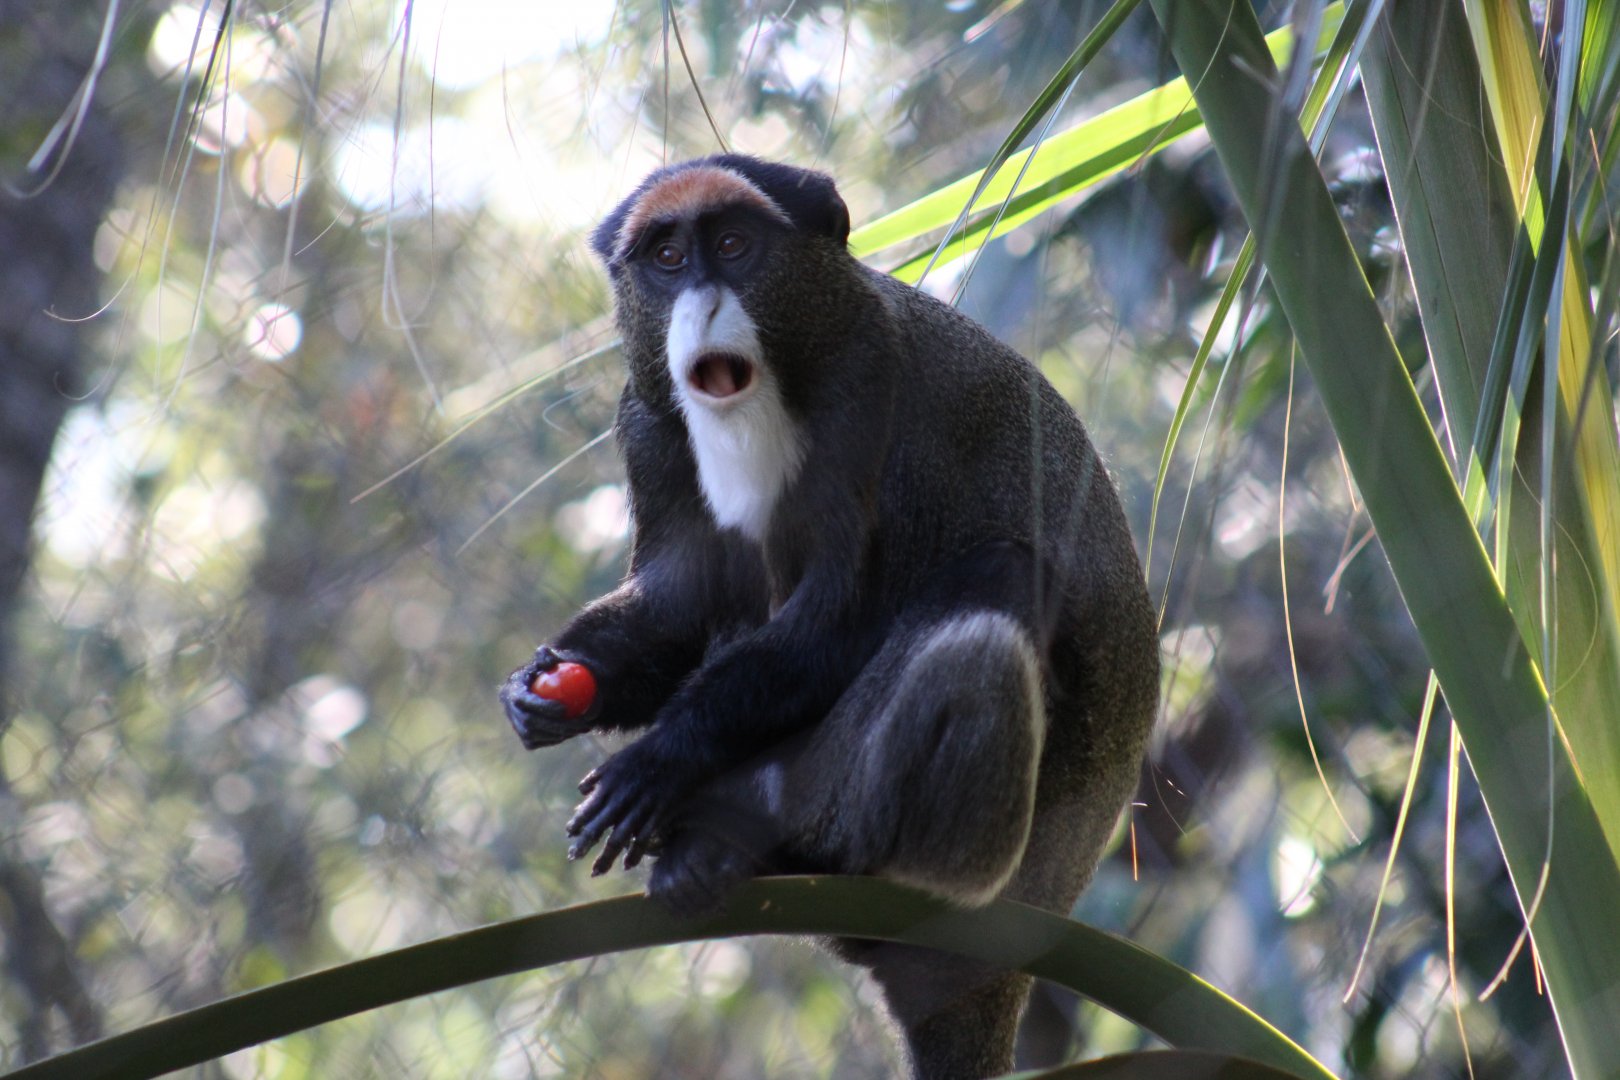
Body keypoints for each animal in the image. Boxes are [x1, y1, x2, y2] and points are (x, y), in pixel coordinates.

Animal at [499, 154, 1159, 1079]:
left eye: (733, 246)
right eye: (667, 257)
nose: (704, 300)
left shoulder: (869, 389)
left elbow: (839, 616)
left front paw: (662, 757)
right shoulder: (647, 413)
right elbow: (678, 596)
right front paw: (548, 690)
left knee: (999, 584)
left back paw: (753, 821)